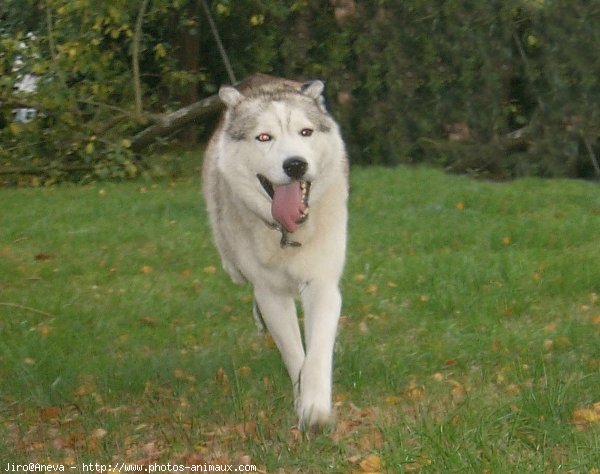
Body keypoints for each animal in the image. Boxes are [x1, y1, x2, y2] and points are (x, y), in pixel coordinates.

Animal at [204, 75, 350, 430]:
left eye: (305, 132)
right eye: (264, 137)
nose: (295, 165)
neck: (287, 235)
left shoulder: (322, 284)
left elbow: (317, 351)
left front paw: (315, 408)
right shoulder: (270, 294)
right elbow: (295, 354)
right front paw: (303, 402)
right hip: (233, 265)